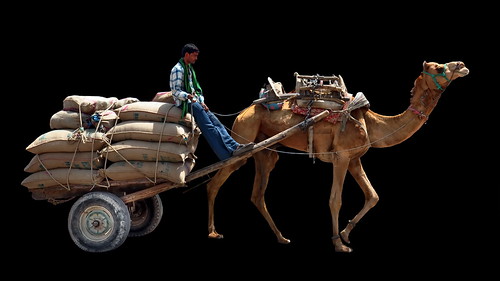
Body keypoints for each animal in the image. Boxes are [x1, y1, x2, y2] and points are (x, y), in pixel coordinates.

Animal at [203, 60, 468, 252]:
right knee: (216, 181)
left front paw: (345, 234)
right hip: (244, 136)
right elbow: (335, 199)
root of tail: (243, 112)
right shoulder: (341, 157)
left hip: (265, 150)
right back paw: (213, 231)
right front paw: (338, 243)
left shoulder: (354, 159)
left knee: (257, 194)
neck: (372, 124)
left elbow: (373, 196)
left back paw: (282, 237)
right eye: (439, 67)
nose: (461, 65)